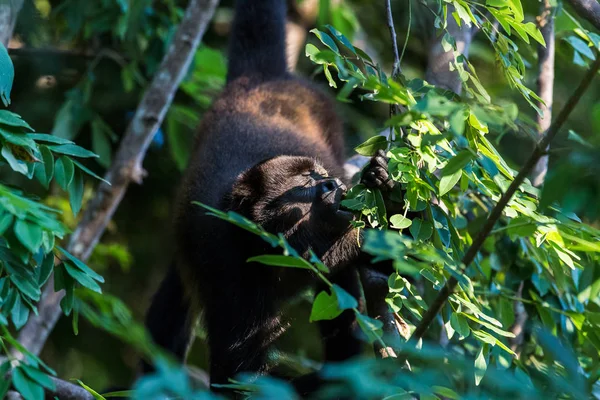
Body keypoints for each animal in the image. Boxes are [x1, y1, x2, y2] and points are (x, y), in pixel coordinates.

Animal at [144, 0, 392, 390]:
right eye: (305, 180)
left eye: (320, 175)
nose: (331, 184)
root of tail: (258, 79)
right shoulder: (226, 265)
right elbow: (238, 374)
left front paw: (385, 185)